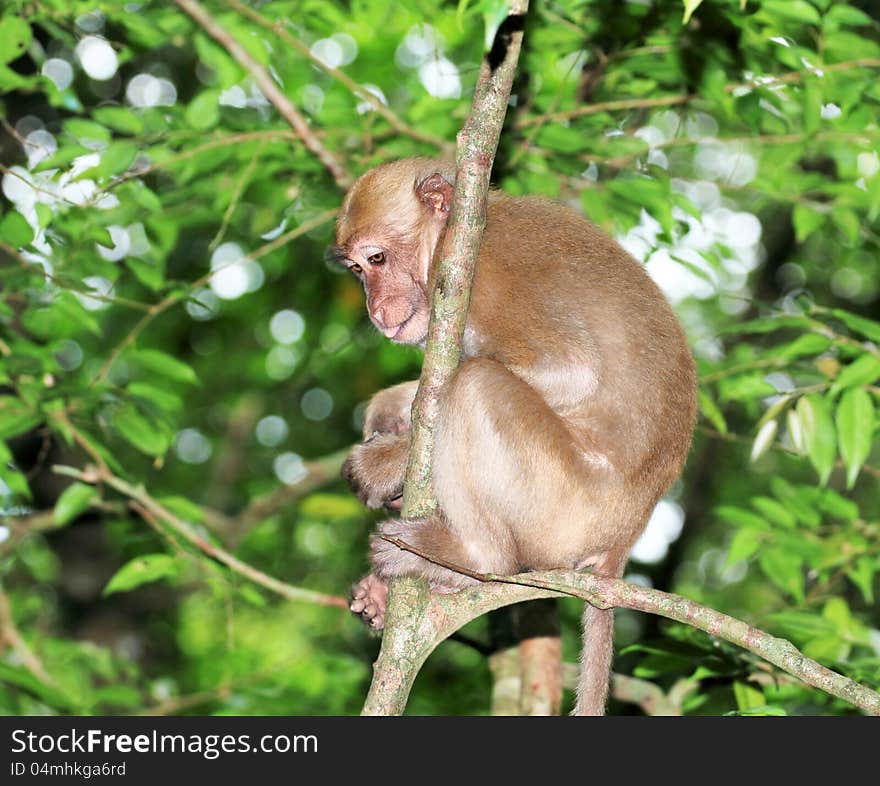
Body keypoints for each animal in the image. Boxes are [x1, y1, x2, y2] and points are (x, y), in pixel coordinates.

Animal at [334, 156, 696, 712]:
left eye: (377, 258)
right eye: (356, 270)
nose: (375, 310)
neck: (448, 243)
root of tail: (621, 543)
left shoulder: (484, 276)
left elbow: (572, 370)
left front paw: (387, 462)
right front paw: (389, 412)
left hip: (562, 506)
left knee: (474, 385)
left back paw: (472, 557)